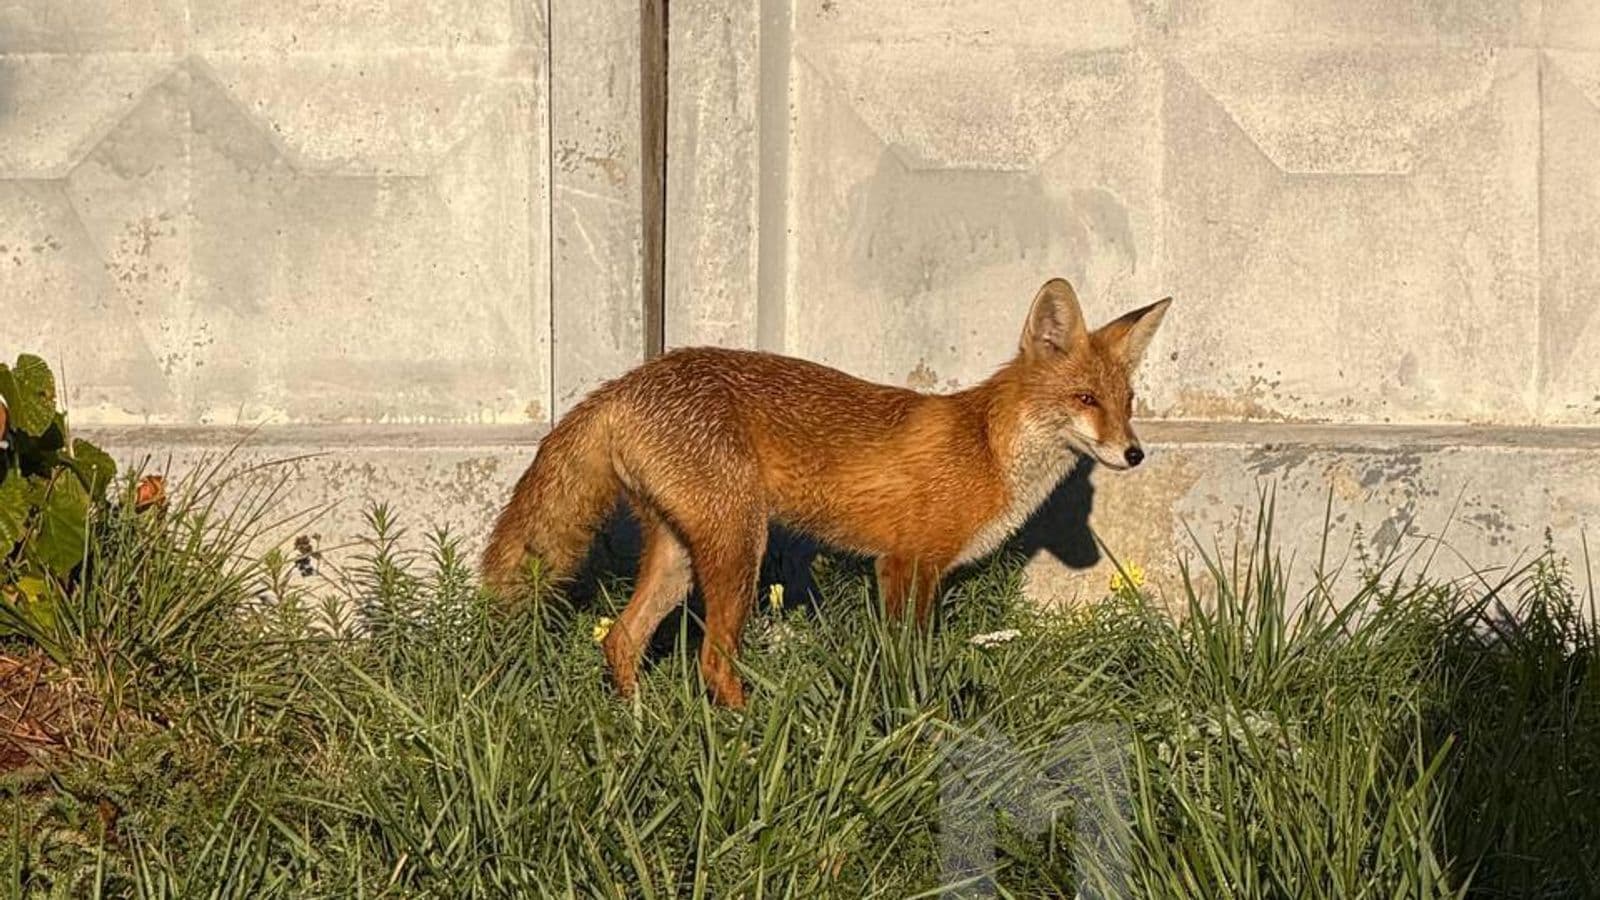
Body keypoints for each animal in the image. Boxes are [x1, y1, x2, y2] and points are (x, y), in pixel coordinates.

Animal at [482, 278, 1171, 708]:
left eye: (1127, 402)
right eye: (1085, 399)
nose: (1135, 454)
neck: (987, 450)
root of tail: (625, 381)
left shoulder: (909, 569)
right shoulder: (906, 564)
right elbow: (907, 662)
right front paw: (917, 724)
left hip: (681, 555)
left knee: (620, 640)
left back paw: (637, 726)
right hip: (740, 550)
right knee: (711, 660)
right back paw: (747, 733)